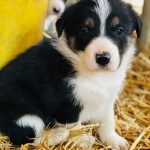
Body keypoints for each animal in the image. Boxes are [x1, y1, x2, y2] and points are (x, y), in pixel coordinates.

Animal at [0, 0, 142, 149]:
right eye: (84, 30)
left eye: (120, 30)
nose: (103, 58)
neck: (96, 76)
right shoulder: (66, 104)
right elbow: (74, 126)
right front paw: (82, 139)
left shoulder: (108, 97)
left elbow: (108, 120)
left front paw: (113, 140)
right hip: (23, 110)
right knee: (28, 138)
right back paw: (58, 134)